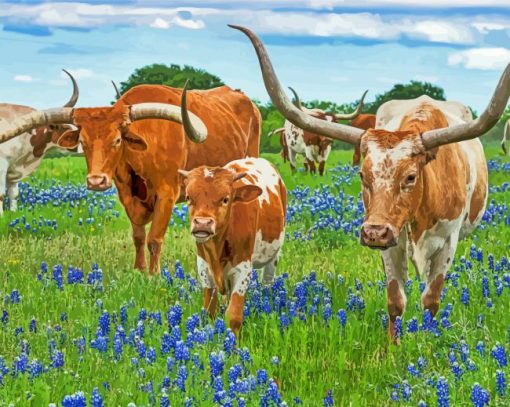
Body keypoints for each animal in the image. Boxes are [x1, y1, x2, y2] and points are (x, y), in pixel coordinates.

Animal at [0, 71, 79, 217]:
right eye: (68, 131)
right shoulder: (2, 164)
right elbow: (1, 194)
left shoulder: (13, 169)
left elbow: (14, 193)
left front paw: (13, 212)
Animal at [178, 158, 286, 336]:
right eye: (188, 197)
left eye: (225, 199)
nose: (202, 223)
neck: (217, 249)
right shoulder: (204, 267)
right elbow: (210, 311)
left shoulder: (243, 269)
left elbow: (234, 316)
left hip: (274, 256)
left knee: (268, 282)